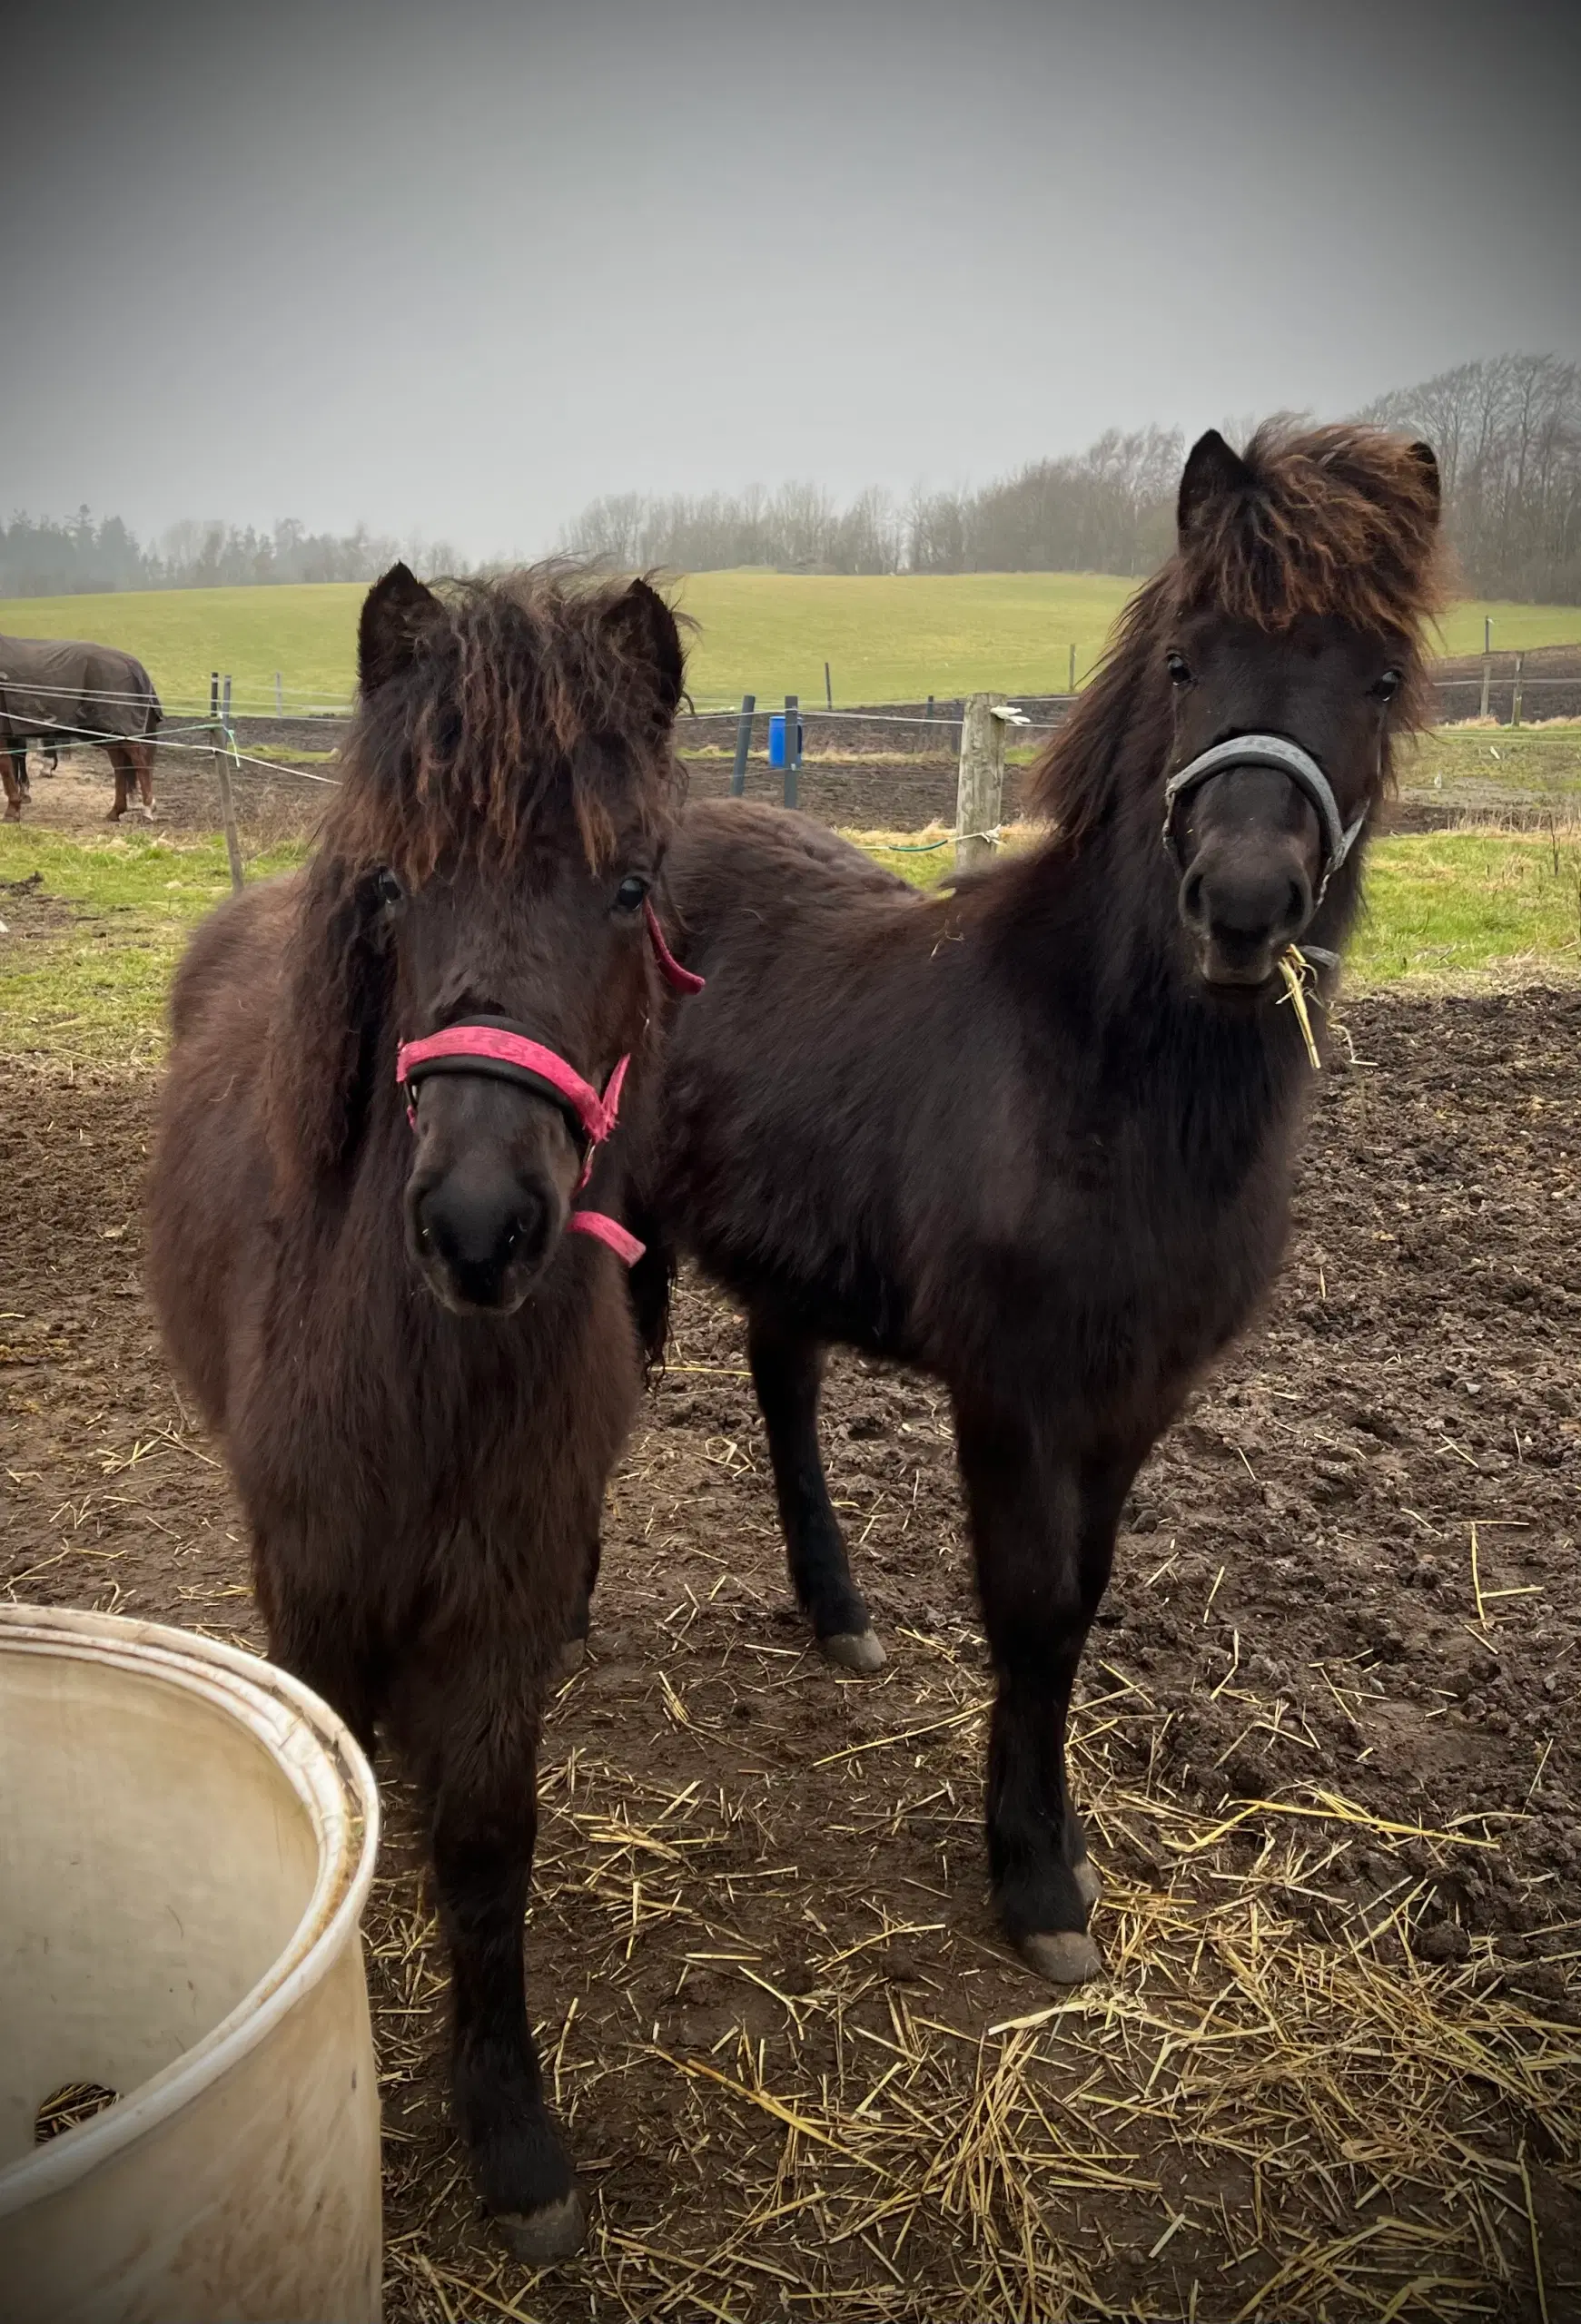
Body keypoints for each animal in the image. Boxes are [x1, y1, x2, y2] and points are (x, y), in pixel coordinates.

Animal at [148, 557, 683, 2250]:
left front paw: (508, 2126)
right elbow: (350, 1792)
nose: (477, 1226)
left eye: (629, 888)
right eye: (392, 889)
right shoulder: (315, 1593)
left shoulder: (500, 1602)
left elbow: (483, 1849)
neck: (428, 1380)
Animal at [627, 428, 1441, 1989]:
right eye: (1184, 660)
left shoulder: (1134, 1395)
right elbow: (1026, 1605)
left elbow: (1077, 1607)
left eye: (1377, 679)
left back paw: (837, 1614)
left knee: (780, 1383)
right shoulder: (1012, 1389)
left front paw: (1057, 1850)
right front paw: (1032, 1885)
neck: (1102, 1074)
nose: (1240, 905)